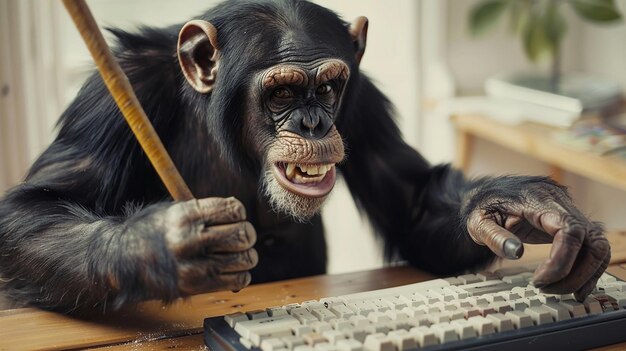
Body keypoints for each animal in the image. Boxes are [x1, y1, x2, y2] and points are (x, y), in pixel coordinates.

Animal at [0, 0, 608, 314]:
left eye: (330, 88)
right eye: (284, 93)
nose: (314, 122)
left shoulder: (363, 99)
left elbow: (409, 205)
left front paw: (515, 206)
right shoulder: (112, 96)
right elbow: (39, 206)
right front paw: (169, 244)